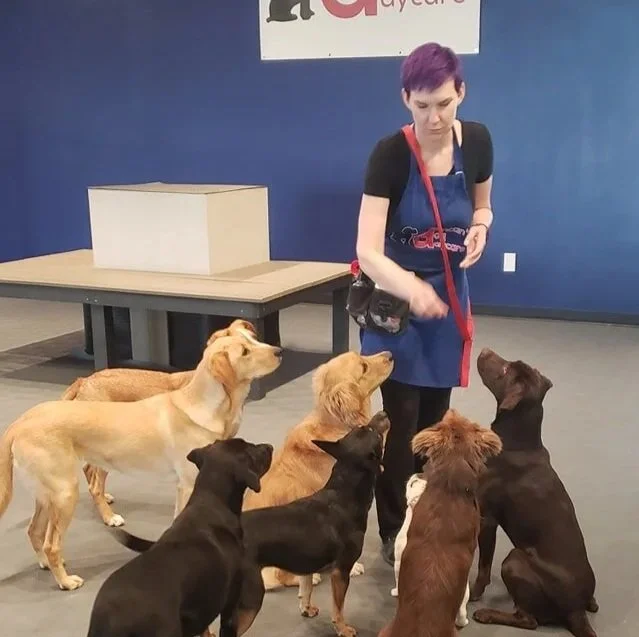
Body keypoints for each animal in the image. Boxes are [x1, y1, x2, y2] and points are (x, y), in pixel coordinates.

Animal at [62, 319, 257, 527]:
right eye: (244, 350)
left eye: (254, 339)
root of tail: (84, 381)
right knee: (94, 484)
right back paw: (109, 516)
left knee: (89, 470)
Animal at [87, 438, 273, 637]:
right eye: (250, 450)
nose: (270, 446)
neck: (211, 502)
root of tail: (111, 620)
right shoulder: (230, 606)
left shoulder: (202, 607)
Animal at [112, 411, 390, 637]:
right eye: (372, 432)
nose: (383, 413)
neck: (343, 492)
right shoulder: (341, 571)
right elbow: (338, 606)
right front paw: (342, 628)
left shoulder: (308, 563)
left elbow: (306, 586)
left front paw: (306, 607)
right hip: (249, 599)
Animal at [470, 348, 598, 637]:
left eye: (506, 370)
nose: (483, 350)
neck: (520, 440)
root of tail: (576, 611)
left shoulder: (487, 518)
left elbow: (483, 566)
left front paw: (474, 594)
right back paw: (593, 602)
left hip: (514, 559)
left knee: (528, 619)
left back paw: (487, 613)